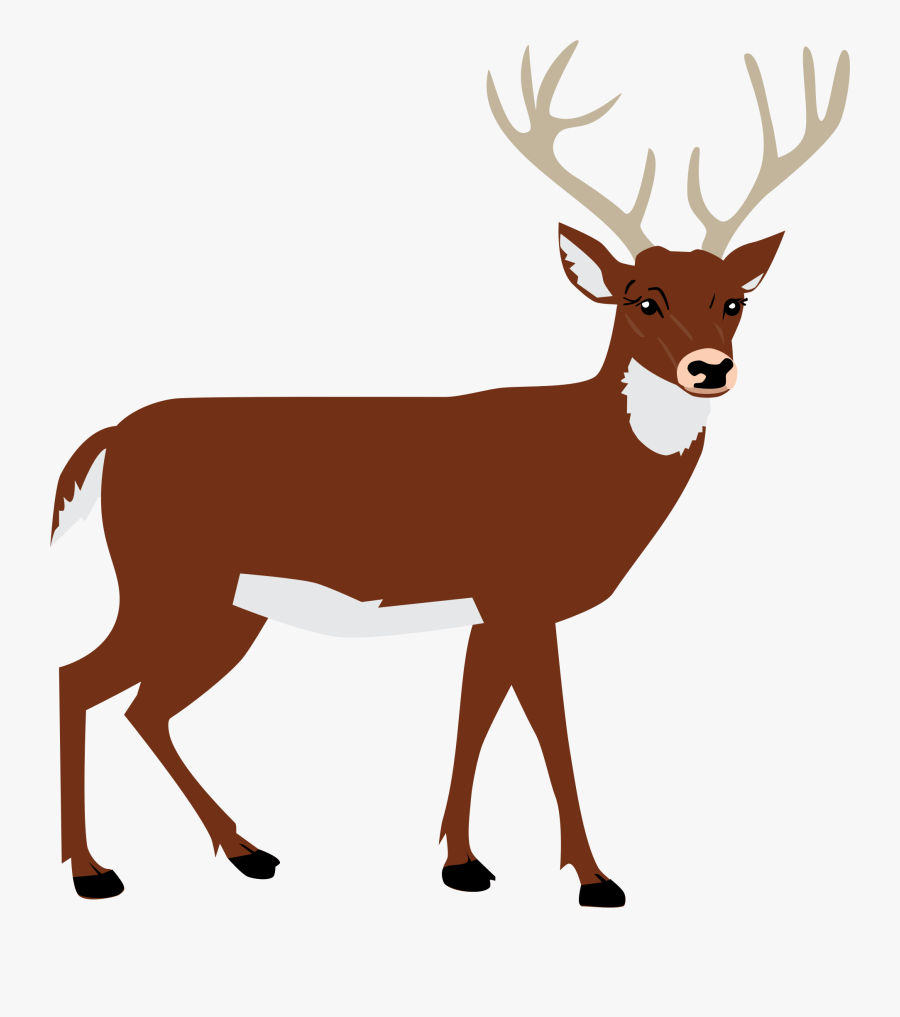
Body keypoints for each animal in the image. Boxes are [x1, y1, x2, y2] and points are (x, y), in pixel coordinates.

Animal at [52, 42, 849, 903]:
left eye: (734, 300)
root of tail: (109, 440)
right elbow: (551, 729)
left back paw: (247, 849)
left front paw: (462, 863)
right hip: (169, 581)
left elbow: (474, 718)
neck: (586, 462)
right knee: (80, 680)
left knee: (142, 707)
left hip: (227, 606)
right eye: (642, 299)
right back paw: (95, 871)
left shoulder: (488, 607)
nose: (711, 368)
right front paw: (594, 876)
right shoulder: (520, 593)